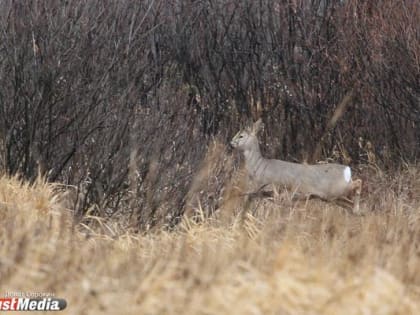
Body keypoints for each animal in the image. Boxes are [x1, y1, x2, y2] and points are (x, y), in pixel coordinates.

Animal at [230, 119, 360, 214]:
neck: (260, 166)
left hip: (336, 190)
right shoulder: (264, 193)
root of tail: (347, 170)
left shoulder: (273, 188)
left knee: (358, 183)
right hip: (335, 197)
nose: (231, 143)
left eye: (241, 136)